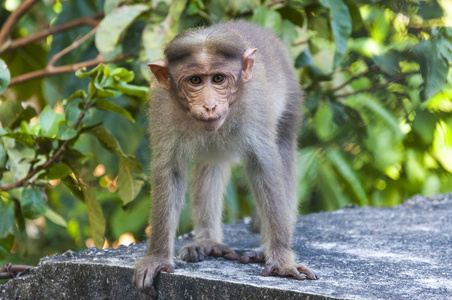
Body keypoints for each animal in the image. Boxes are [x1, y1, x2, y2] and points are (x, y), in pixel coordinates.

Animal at [132, 20, 320, 298]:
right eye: (195, 80)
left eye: (218, 78)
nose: (209, 106)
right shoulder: (162, 106)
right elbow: (170, 170)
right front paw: (156, 256)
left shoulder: (254, 101)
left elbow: (264, 164)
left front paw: (281, 260)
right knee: (211, 161)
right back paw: (208, 242)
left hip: (293, 100)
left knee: (283, 149)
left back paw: (264, 248)